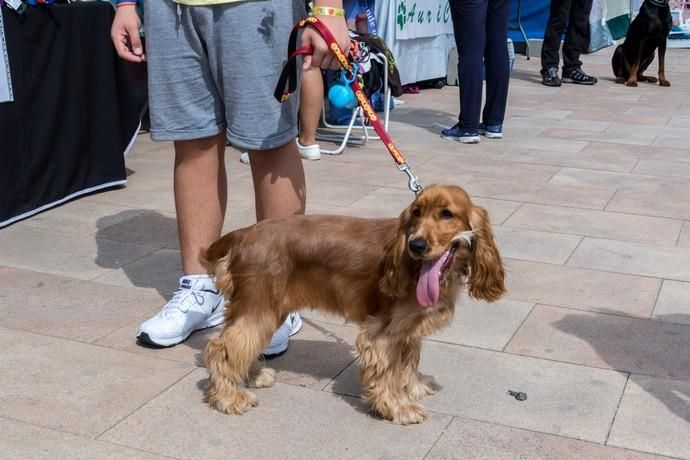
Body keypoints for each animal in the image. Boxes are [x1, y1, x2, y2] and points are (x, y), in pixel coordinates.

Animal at [202, 182, 502, 424]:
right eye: (417, 212)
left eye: (447, 214)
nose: (416, 245)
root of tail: (244, 233)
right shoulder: (383, 333)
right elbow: (389, 373)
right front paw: (399, 408)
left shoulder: (408, 329)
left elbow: (409, 362)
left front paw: (414, 387)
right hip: (259, 306)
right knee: (221, 348)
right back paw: (229, 398)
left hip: (262, 309)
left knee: (237, 343)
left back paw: (252, 375)